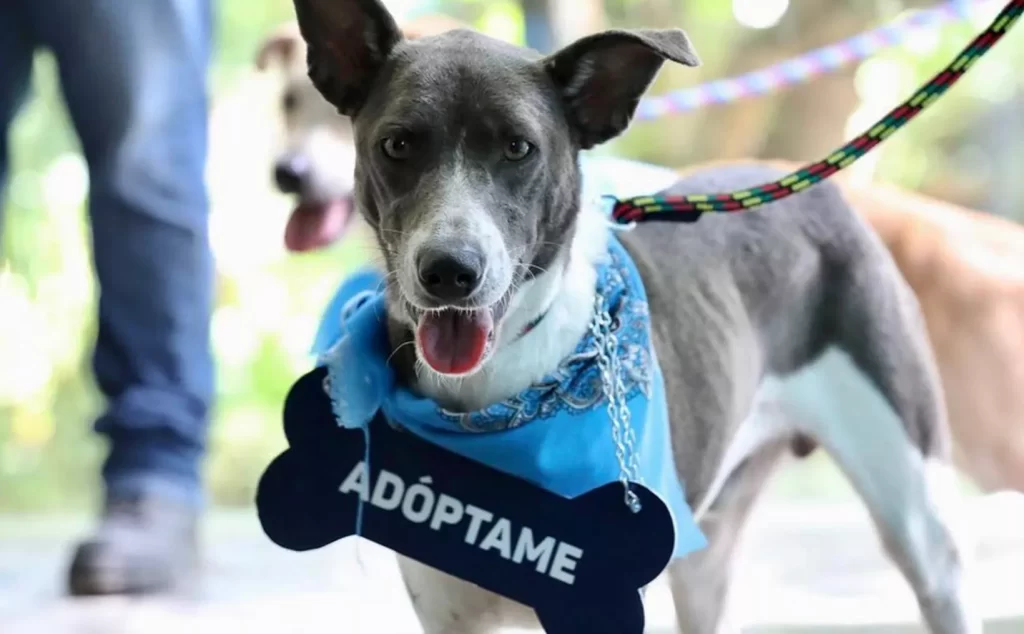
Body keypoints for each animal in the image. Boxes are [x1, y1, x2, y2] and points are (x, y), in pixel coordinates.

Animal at [292, 1, 978, 634]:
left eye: (518, 147)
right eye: (398, 144)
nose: (450, 271)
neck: (492, 399)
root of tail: (805, 186)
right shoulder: (448, 613)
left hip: (916, 516)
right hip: (707, 554)